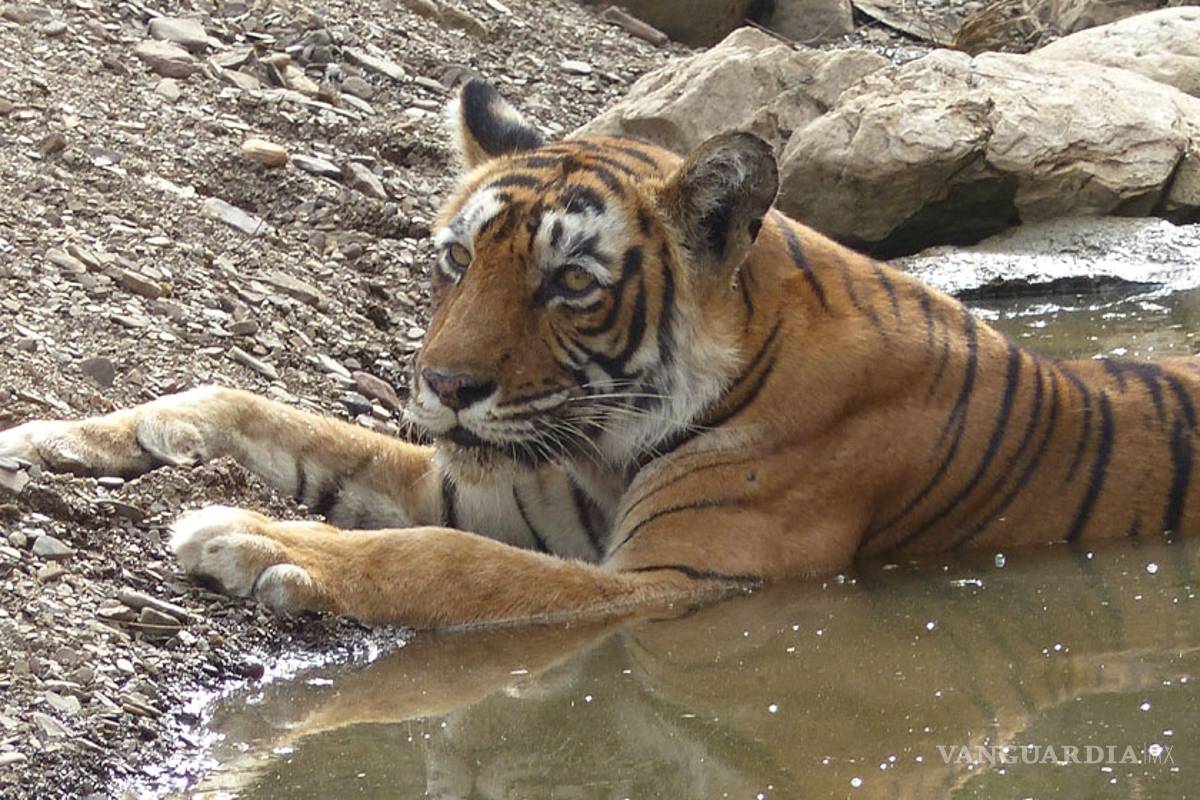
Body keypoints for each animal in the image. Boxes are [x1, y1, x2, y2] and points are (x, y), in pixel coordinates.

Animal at [2, 78, 1199, 628]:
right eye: (455, 260)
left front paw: (247, 537)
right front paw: (65, 432)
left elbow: (451, 562)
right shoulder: (490, 481)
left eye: (571, 285)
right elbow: (268, 412)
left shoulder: (679, 582)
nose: (445, 385)